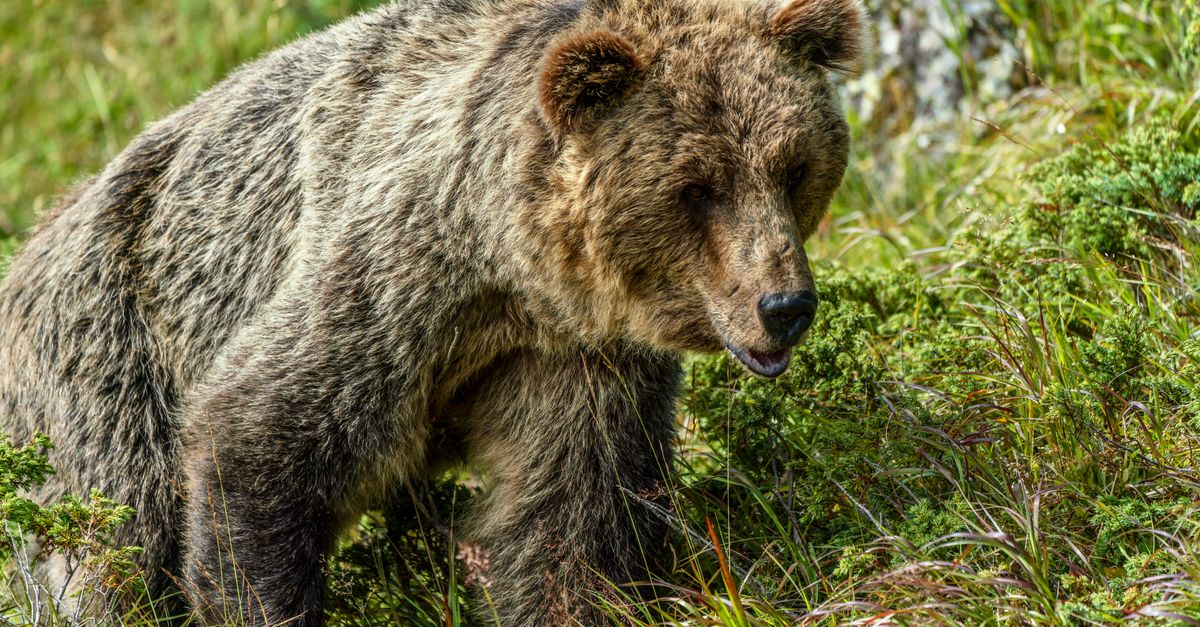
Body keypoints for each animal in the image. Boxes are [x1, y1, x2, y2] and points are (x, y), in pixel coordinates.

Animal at [0, 0, 865, 624]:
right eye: (696, 185)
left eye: (792, 167)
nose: (784, 304)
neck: (509, 273)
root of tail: (34, 242)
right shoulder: (386, 282)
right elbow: (257, 433)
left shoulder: (572, 361)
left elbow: (572, 519)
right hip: (106, 361)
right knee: (113, 541)